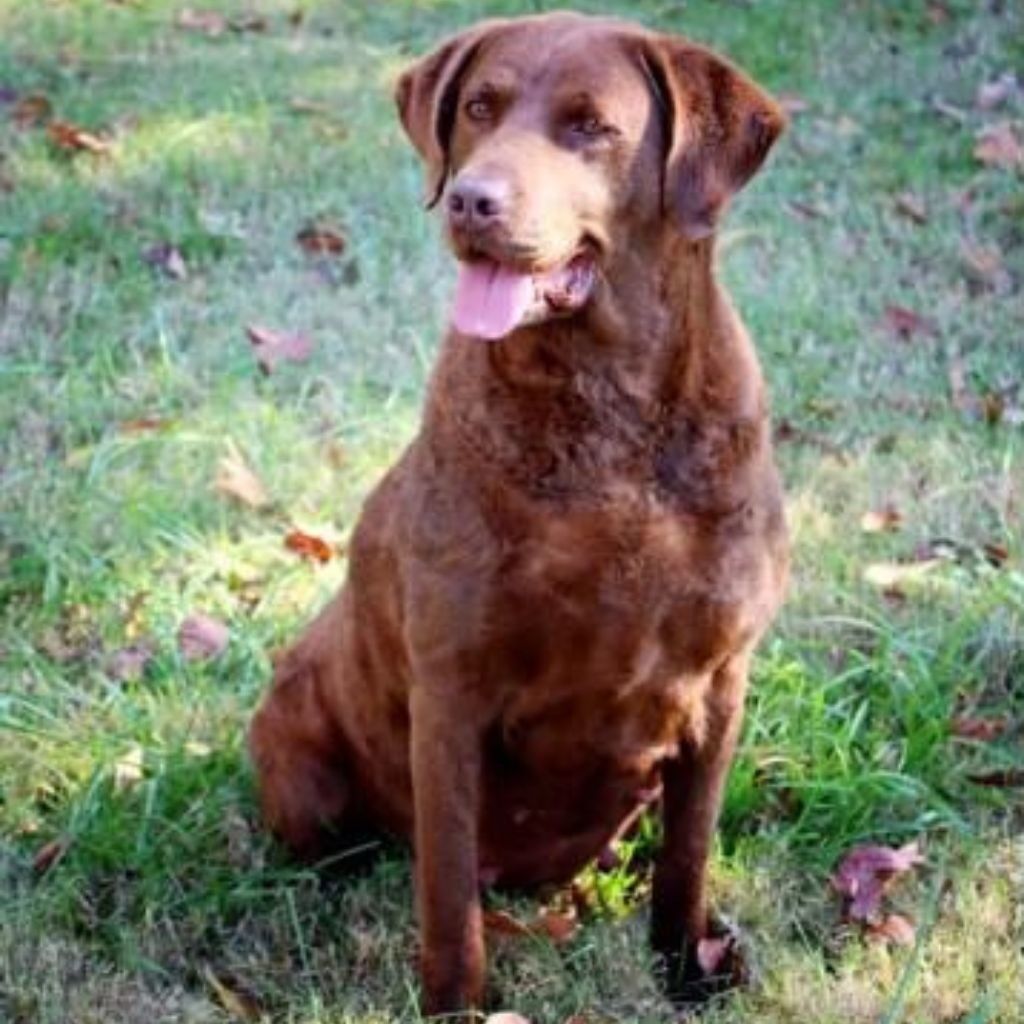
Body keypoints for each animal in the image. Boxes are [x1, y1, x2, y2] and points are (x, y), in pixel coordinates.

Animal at [249, 9, 790, 1015]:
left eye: (590, 126)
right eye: (478, 107)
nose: (470, 201)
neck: (608, 417)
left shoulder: (721, 681)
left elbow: (689, 854)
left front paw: (684, 967)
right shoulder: (452, 693)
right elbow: (447, 890)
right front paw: (457, 1006)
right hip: (294, 746)